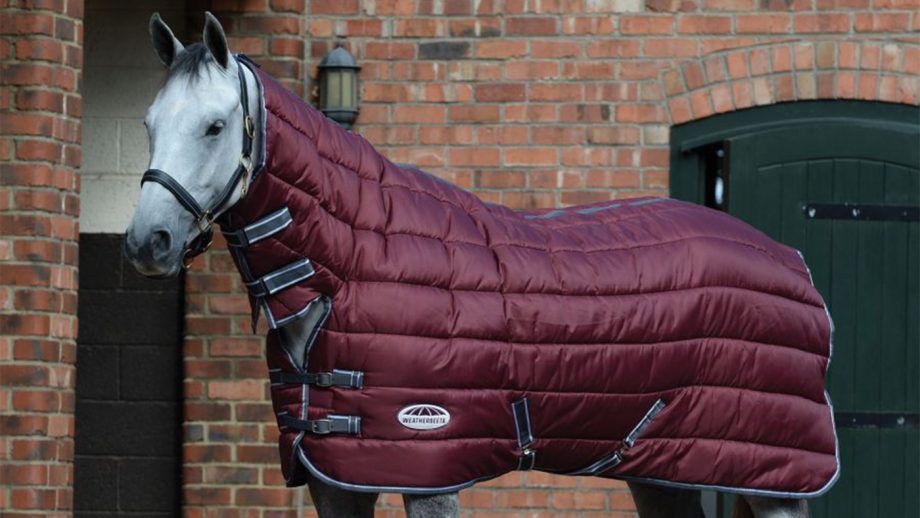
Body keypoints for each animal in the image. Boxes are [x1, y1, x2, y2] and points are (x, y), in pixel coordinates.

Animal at [124, 12, 826, 518]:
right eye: (148, 123)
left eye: (215, 126)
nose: (146, 243)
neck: (349, 266)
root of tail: (794, 263)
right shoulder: (336, 476)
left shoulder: (427, 469)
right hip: (663, 468)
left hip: (775, 484)